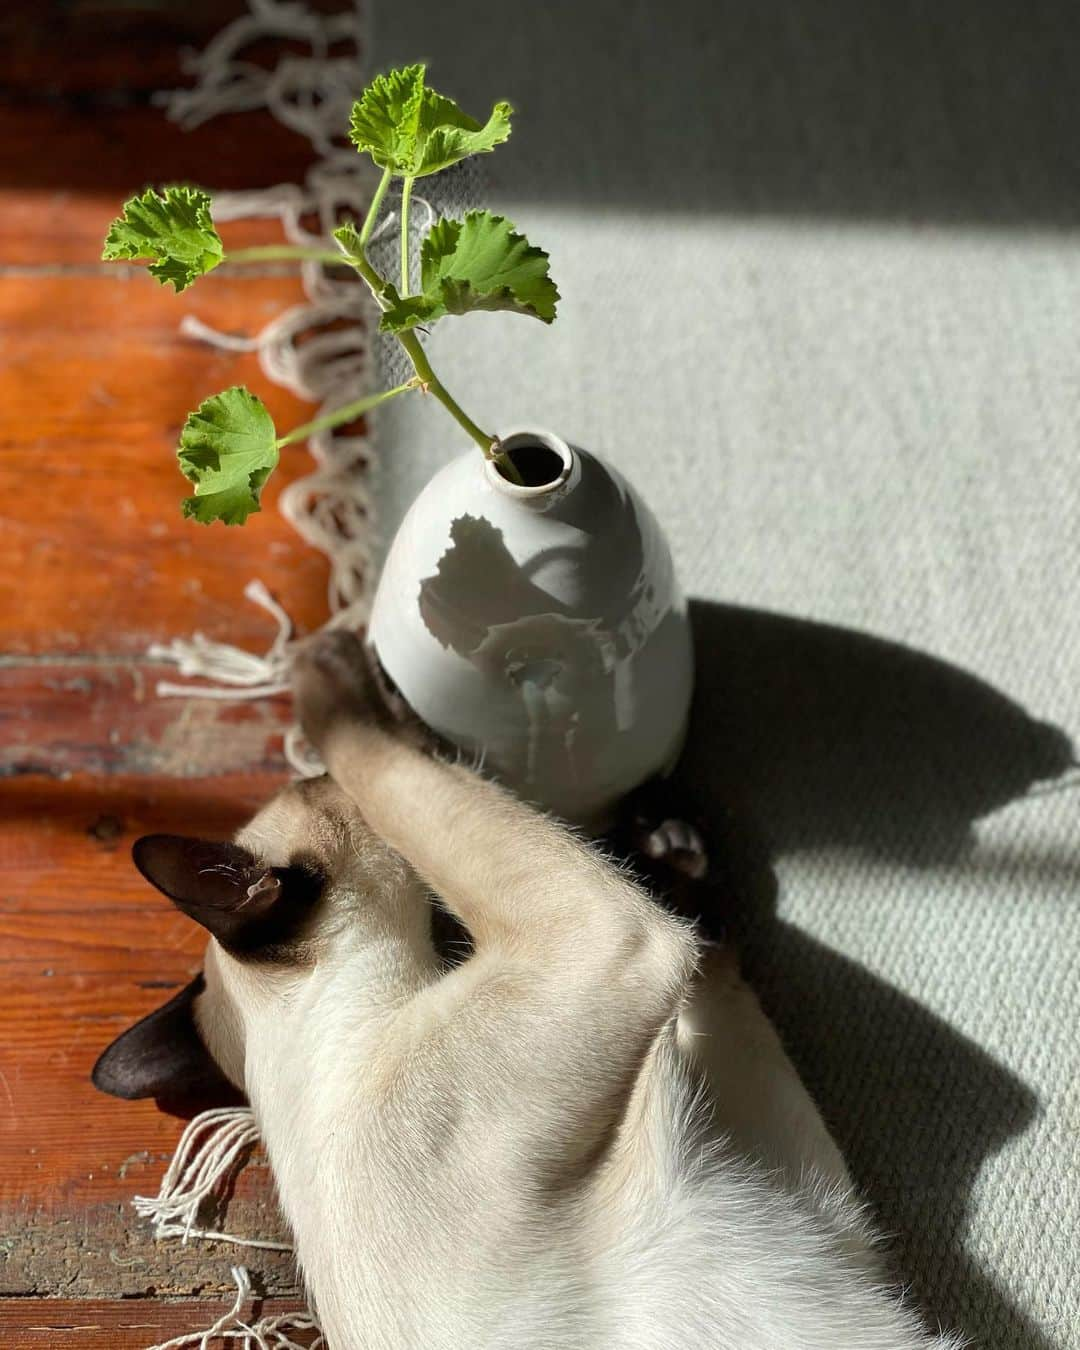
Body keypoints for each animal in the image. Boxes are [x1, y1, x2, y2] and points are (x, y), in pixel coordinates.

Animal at [95, 631, 961, 1350]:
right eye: (313, 775)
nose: (305, 766)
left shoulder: (796, 1199)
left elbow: (714, 962)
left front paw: (665, 844)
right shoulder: (609, 947)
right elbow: (386, 766)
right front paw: (341, 675)